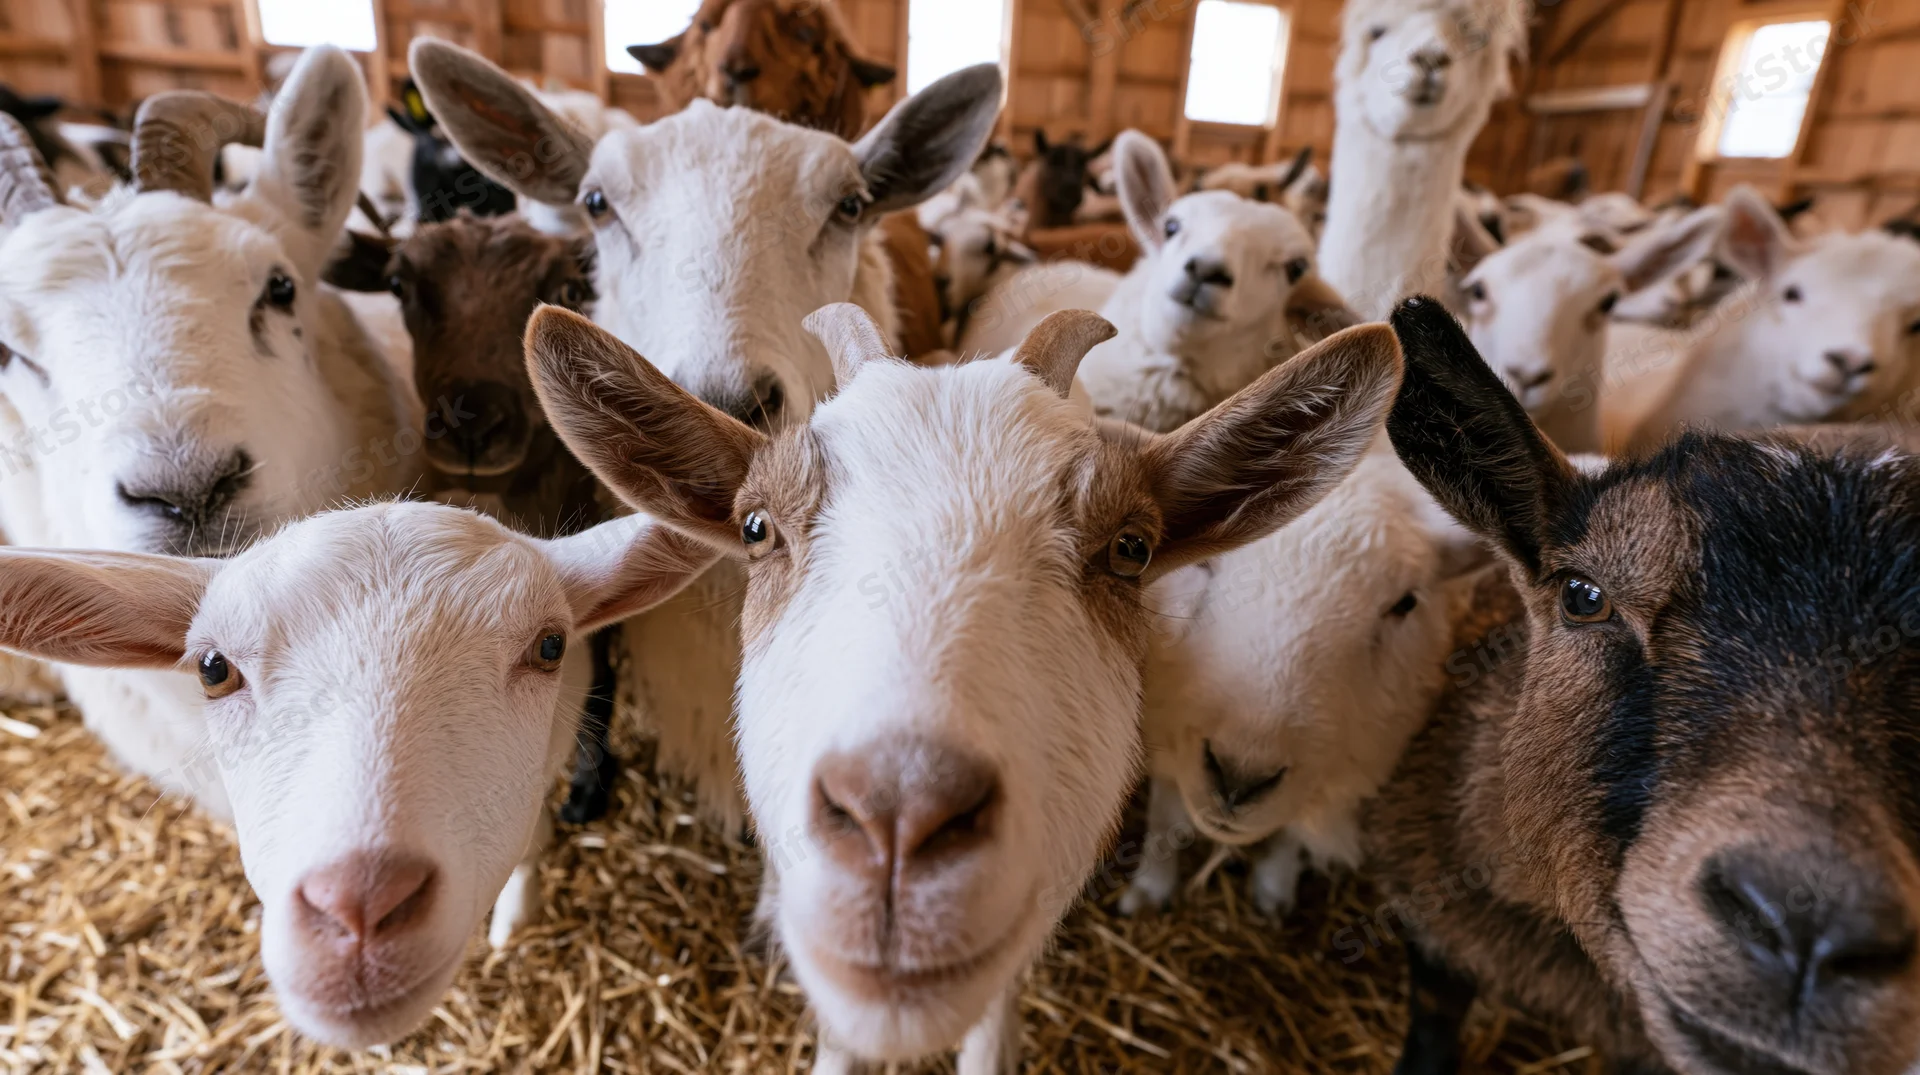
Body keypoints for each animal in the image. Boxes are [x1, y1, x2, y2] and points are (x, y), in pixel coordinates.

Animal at [1123, 444, 1491, 917]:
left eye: (1406, 603)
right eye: (1202, 564)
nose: (1239, 779)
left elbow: (1292, 835)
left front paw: (1274, 890)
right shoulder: (1165, 720)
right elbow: (1164, 815)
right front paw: (1150, 888)